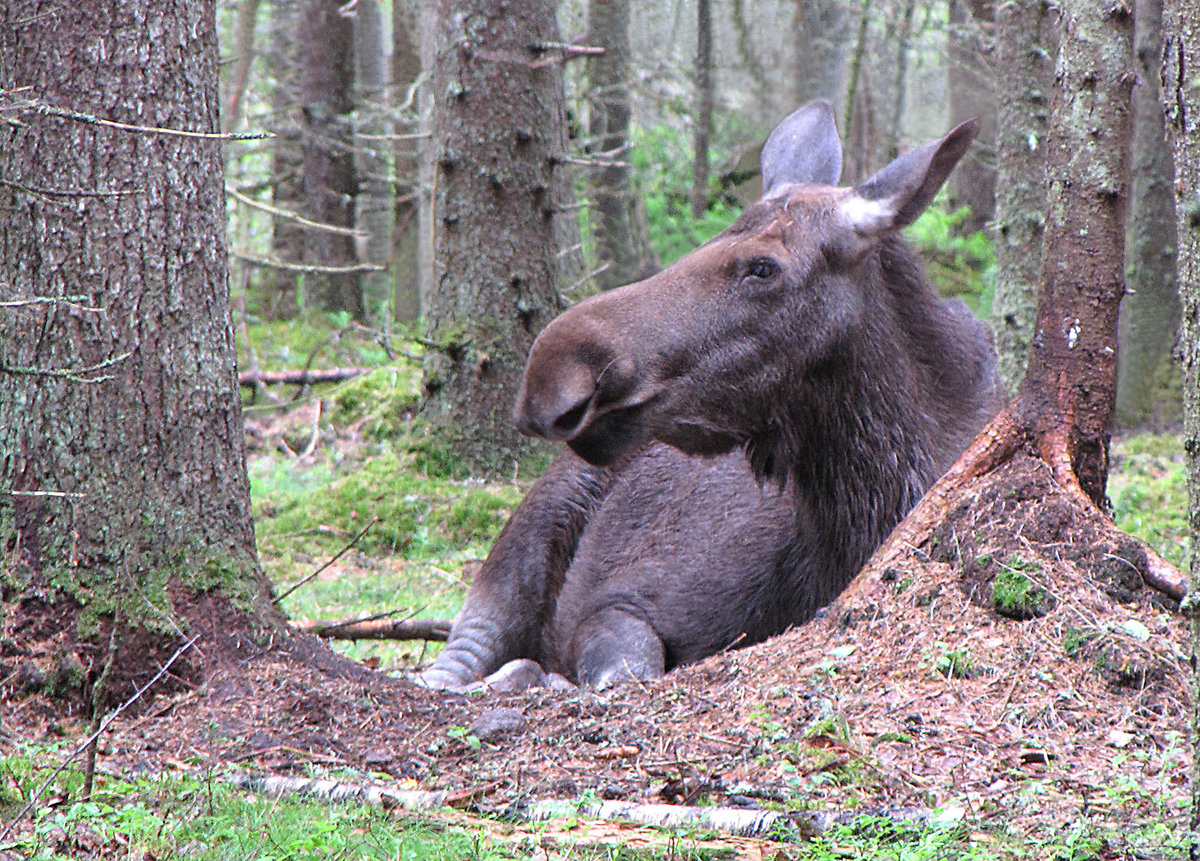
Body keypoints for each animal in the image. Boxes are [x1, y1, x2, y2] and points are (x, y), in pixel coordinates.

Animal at [417, 100, 1004, 692]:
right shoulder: (620, 599)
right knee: (452, 662)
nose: (552, 375)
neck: (853, 534)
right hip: (531, 534)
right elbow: (624, 670)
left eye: (763, 267)